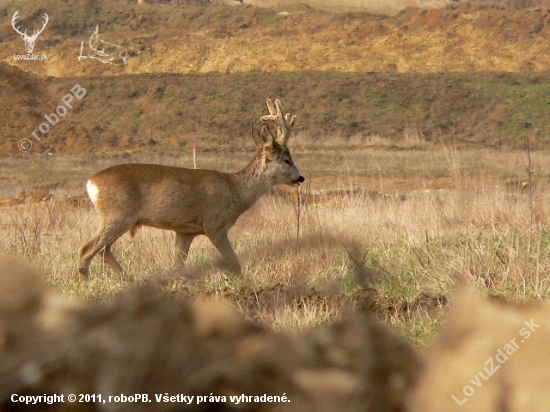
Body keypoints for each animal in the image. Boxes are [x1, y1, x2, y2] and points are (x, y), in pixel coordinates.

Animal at [76, 99, 306, 276]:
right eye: (286, 160)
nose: (300, 177)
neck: (236, 190)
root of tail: (91, 182)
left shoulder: (185, 230)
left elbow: (178, 264)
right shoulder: (214, 224)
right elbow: (233, 262)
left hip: (120, 218)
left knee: (103, 250)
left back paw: (129, 280)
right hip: (117, 214)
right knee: (87, 249)